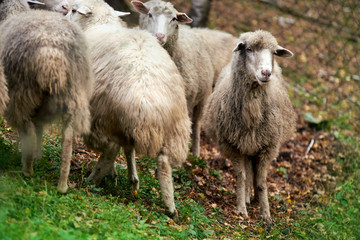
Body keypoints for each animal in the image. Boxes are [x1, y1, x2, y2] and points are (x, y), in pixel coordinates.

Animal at [0, 0, 93, 193]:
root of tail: (52, 54)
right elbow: (40, 128)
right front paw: (38, 155)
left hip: (22, 90)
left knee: (26, 128)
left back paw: (27, 170)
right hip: (74, 93)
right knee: (67, 138)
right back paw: (62, 185)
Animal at [67, 0, 191, 218]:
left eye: (74, 10)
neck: (98, 24)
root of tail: (145, 99)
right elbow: (129, 149)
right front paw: (133, 179)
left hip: (103, 113)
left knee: (110, 148)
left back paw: (92, 180)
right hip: (176, 127)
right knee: (164, 162)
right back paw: (170, 207)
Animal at [132, 0, 239, 158]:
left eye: (173, 19)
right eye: (149, 14)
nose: (159, 36)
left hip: (203, 97)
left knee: (196, 124)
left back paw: (195, 154)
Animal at [202, 29, 296, 223]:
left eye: (274, 52)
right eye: (249, 49)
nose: (266, 73)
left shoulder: (268, 147)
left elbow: (261, 182)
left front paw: (266, 215)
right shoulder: (232, 145)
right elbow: (241, 176)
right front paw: (241, 209)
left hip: (253, 144)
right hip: (245, 144)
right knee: (247, 171)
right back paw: (246, 197)